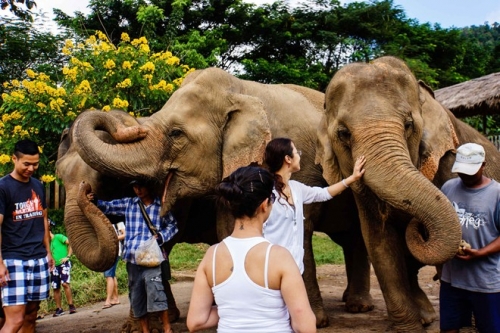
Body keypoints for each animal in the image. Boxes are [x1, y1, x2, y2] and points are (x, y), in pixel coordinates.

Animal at [56, 67, 374, 326]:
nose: (86, 191)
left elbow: (302, 226)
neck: (240, 91)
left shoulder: (303, 166)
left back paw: (358, 307)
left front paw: (313, 321)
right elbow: (224, 229)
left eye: (176, 133)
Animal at [314, 55, 500, 330]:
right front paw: (410, 328)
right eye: (344, 133)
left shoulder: (449, 160)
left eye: (409, 124)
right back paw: (426, 316)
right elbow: (379, 241)